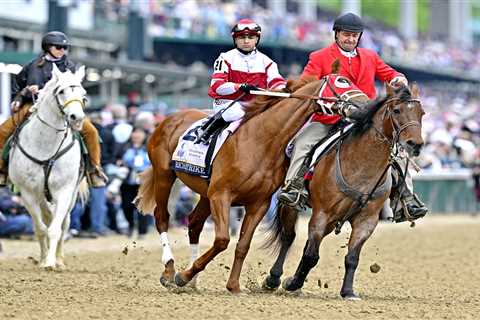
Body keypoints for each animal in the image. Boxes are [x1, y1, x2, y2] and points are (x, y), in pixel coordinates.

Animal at [8, 63, 88, 268]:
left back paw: (59, 259)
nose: (77, 117)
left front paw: (52, 262)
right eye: (61, 91)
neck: (46, 146)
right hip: (41, 197)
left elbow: (55, 229)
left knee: (64, 223)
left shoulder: (64, 190)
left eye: (83, 93)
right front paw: (44, 260)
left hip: (70, 196)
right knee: (45, 220)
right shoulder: (27, 193)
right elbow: (40, 228)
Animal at [135, 74, 382, 292]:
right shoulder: (222, 195)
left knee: (194, 222)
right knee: (162, 217)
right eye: (341, 82)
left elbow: (243, 245)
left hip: (203, 191)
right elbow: (223, 240)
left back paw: (191, 280)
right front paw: (182, 276)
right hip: (165, 175)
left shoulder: (258, 204)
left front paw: (232, 286)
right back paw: (169, 272)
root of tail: (171, 117)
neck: (261, 141)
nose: (366, 104)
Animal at [262, 83, 424, 300]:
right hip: (293, 206)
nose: (415, 144)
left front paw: (348, 291)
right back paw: (274, 278)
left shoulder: (366, 220)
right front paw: (293, 283)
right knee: (289, 237)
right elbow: (311, 255)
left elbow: (352, 257)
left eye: (421, 113)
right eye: (397, 110)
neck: (361, 165)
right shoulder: (322, 213)